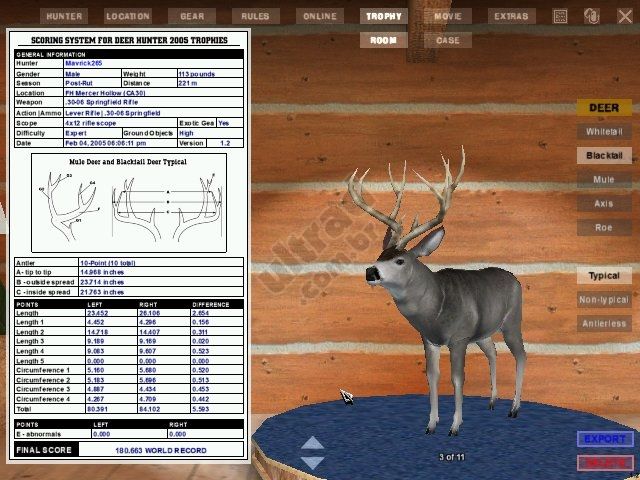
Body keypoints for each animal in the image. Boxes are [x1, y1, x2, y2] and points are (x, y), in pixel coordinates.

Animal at [347, 147, 526, 436]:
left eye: (400, 260)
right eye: (380, 255)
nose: (370, 272)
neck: (436, 308)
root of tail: (514, 278)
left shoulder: (459, 337)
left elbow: (457, 378)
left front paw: (454, 426)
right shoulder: (429, 338)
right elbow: (433, 376)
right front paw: (431, 424)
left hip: (512, 320)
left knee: (520, 355)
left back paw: (514, 408)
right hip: (484, 331)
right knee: (493, 351)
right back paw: (492, 401)